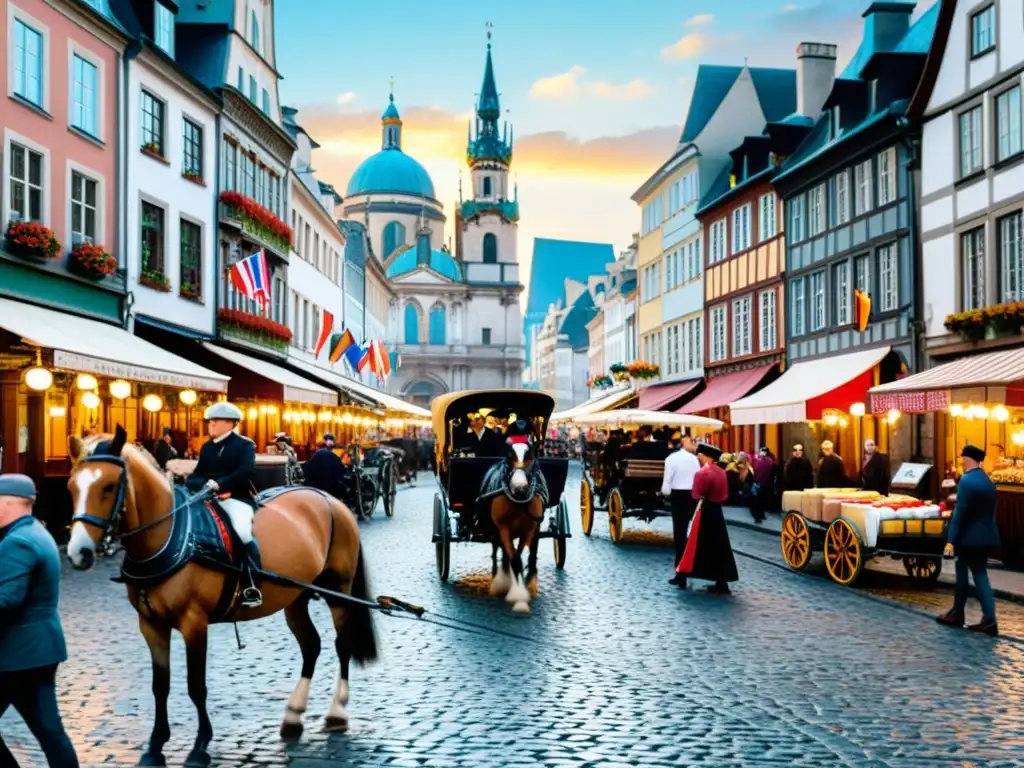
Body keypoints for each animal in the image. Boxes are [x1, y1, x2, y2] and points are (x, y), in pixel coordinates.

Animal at [64, 428, 378, 768]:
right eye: (71, 486)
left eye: (109, 486)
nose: (79, 552)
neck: (171, 536)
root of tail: (329, 499)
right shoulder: (150, 625)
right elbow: (160, 686)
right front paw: (155, 744)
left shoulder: (194, 623)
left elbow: (196, 686)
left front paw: (200, 745)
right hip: (295, 597)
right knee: (311, 646)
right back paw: (293, 717)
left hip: (340, 593)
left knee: (342, 644)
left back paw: (337, 713)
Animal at [483, 442, 548, 618]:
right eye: (509, 456)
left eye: (530, 457)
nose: (519, 487)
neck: (518, 502)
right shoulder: (503, 528)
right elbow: (514, 560)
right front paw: (518, 597)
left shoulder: (529, 530)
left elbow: (517, 556)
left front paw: (521, 590)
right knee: (498, 549)